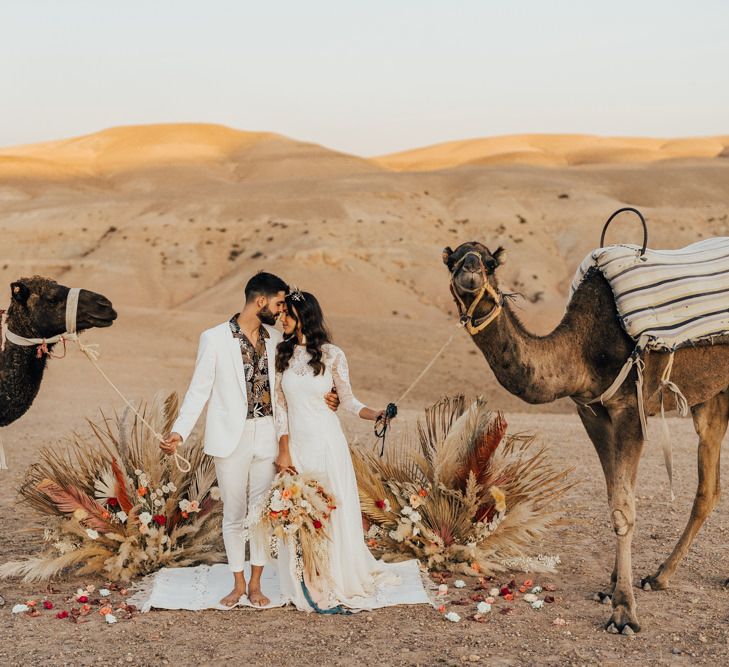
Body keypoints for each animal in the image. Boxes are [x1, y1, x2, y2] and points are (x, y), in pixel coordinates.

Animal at [440, 243, 728, 636]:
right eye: (452, 260)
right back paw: (659, 576)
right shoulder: (592, 411)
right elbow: (614, 498)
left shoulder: (629, 408)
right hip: (713, 397)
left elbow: (624, 508)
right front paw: (613, 586)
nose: (469, 271)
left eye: (490, 262)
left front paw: (624, 613)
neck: (582, 347)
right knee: (708, 489)